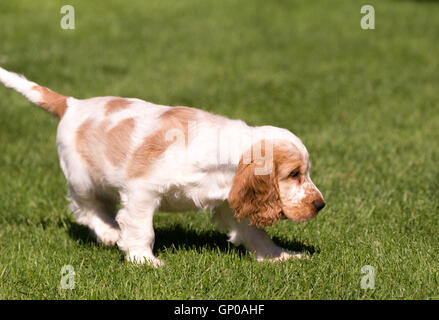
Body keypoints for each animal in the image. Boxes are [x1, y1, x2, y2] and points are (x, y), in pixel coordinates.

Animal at [0, 66, 326, 266]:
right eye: (294, 174)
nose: (321, 205)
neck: (225, 154)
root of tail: (71, 104)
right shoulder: (142, 191)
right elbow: (142, 229)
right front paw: (144, 261)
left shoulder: (229, 200)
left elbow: (255, 233)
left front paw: (280, 257)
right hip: (82, 178)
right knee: (85, 209)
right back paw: (109, 233)